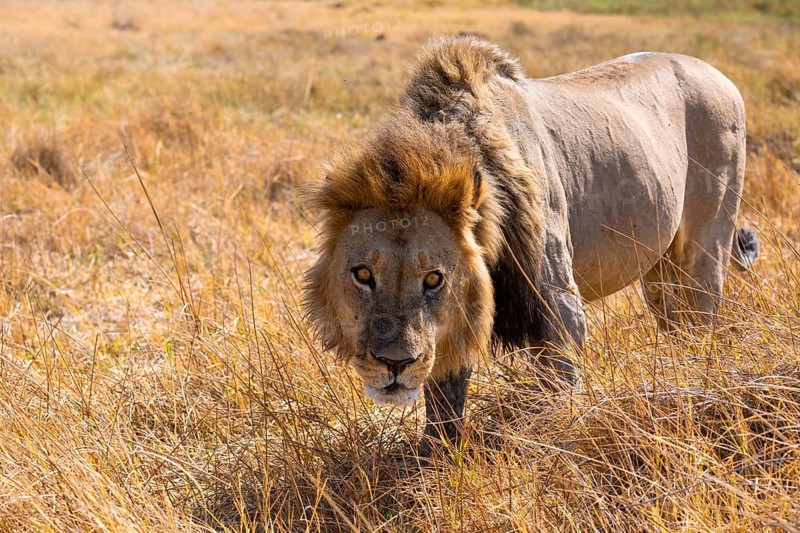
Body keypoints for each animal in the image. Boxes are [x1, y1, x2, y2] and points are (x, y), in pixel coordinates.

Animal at [304, 37, 759, 450]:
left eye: (433, 278)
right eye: (364, 275)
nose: (395, 363)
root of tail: (717, 73)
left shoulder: (559, 301)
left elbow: (560, 389)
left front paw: (558, 438)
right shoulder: (454, 324)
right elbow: (444, 400)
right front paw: (434, 464)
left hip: (706, 247)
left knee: (700, 318)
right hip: (660, 271)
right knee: (674, 320)